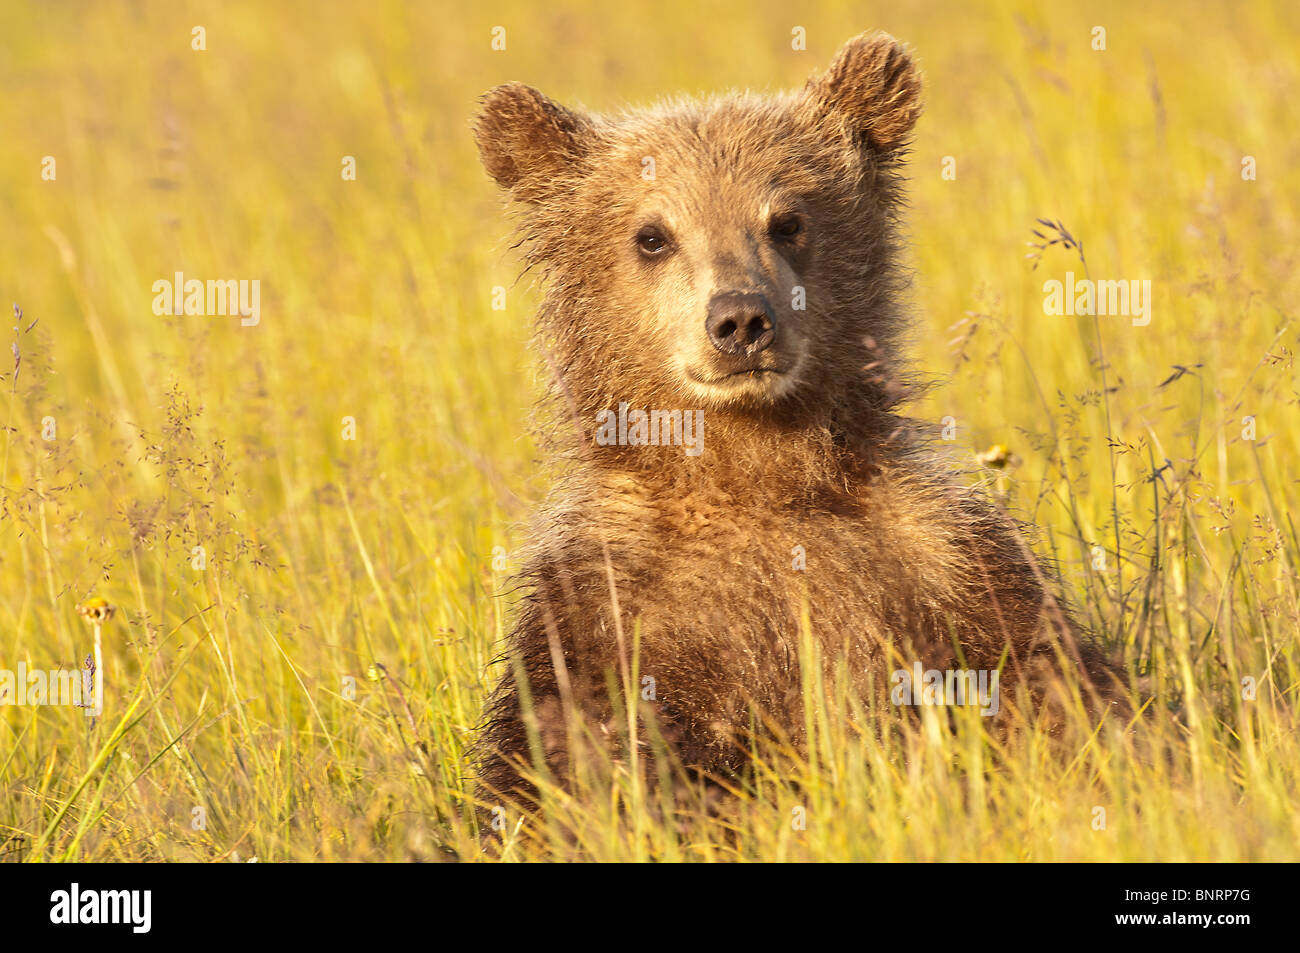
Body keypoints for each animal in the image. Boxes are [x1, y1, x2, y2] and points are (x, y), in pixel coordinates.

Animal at [471, 31, 1128, 807]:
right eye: (652, 235)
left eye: (786, 220)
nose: (741, 320)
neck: (757, 473)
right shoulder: (600, 607)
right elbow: (567, 757)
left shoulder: (948, 563)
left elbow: (1050, 686)